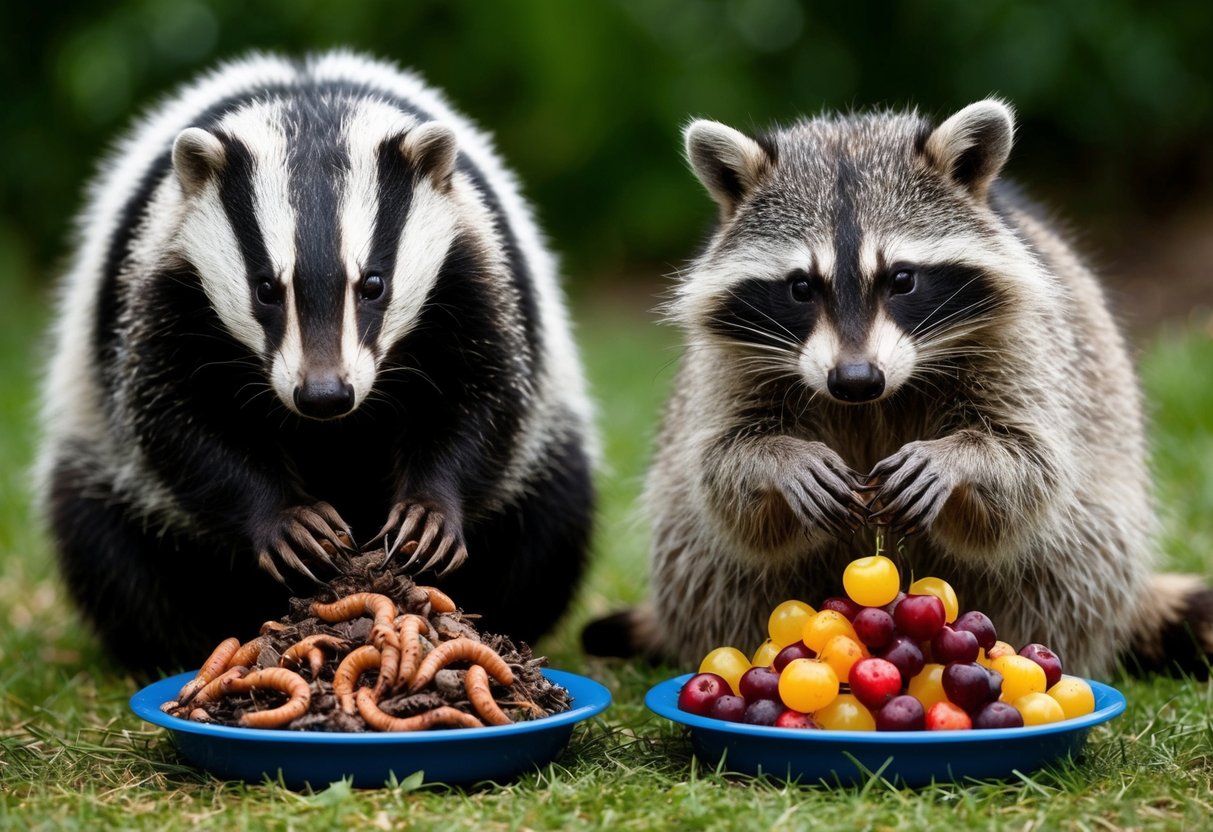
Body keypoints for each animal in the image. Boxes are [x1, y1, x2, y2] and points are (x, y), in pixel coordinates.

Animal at [37, 51, 596, 672]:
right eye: (266, 289)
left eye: (373, 284)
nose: (325, 395)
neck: (312, 111)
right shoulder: (157, 283)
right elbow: (170, 416)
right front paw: (291, 524)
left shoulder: (475, 268)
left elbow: (488, 392)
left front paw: (427, 515)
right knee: (101, 538)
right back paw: (179, 645)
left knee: (555, 515)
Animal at [584, 99, 1213, 679]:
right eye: (800, 288)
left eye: (902, 279)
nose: (856, 380)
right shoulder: (728, 362)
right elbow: (721, 472)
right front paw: (780, 458)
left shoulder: (1025, 343)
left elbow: (1031, 464)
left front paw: (958, 458)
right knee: (705, 558)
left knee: (1069, 562)